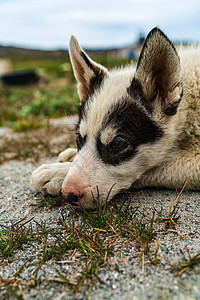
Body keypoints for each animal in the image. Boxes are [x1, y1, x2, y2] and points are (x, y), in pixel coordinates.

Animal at [31, 27, 200, 207]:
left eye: (118, 144)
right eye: (79, 137)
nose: (67, 194)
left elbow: (154, 168)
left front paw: (56, 172)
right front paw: (70, 156)